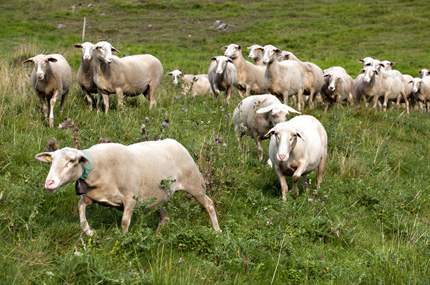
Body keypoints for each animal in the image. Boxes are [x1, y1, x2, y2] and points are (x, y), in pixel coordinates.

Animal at [35, 139, 222, 235]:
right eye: (52, 160)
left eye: (72, 160)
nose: (49, 183)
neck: (98, 167)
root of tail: (175, 142)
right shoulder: (92, 196)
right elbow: (80, 208)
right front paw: (88, 232)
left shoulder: (130, 198)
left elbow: (125, 222)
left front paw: (123, 240)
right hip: (160, 196)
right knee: (164, 215)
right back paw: (157, 236)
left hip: (195, 183)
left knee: (209, 204)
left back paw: (217, 230)